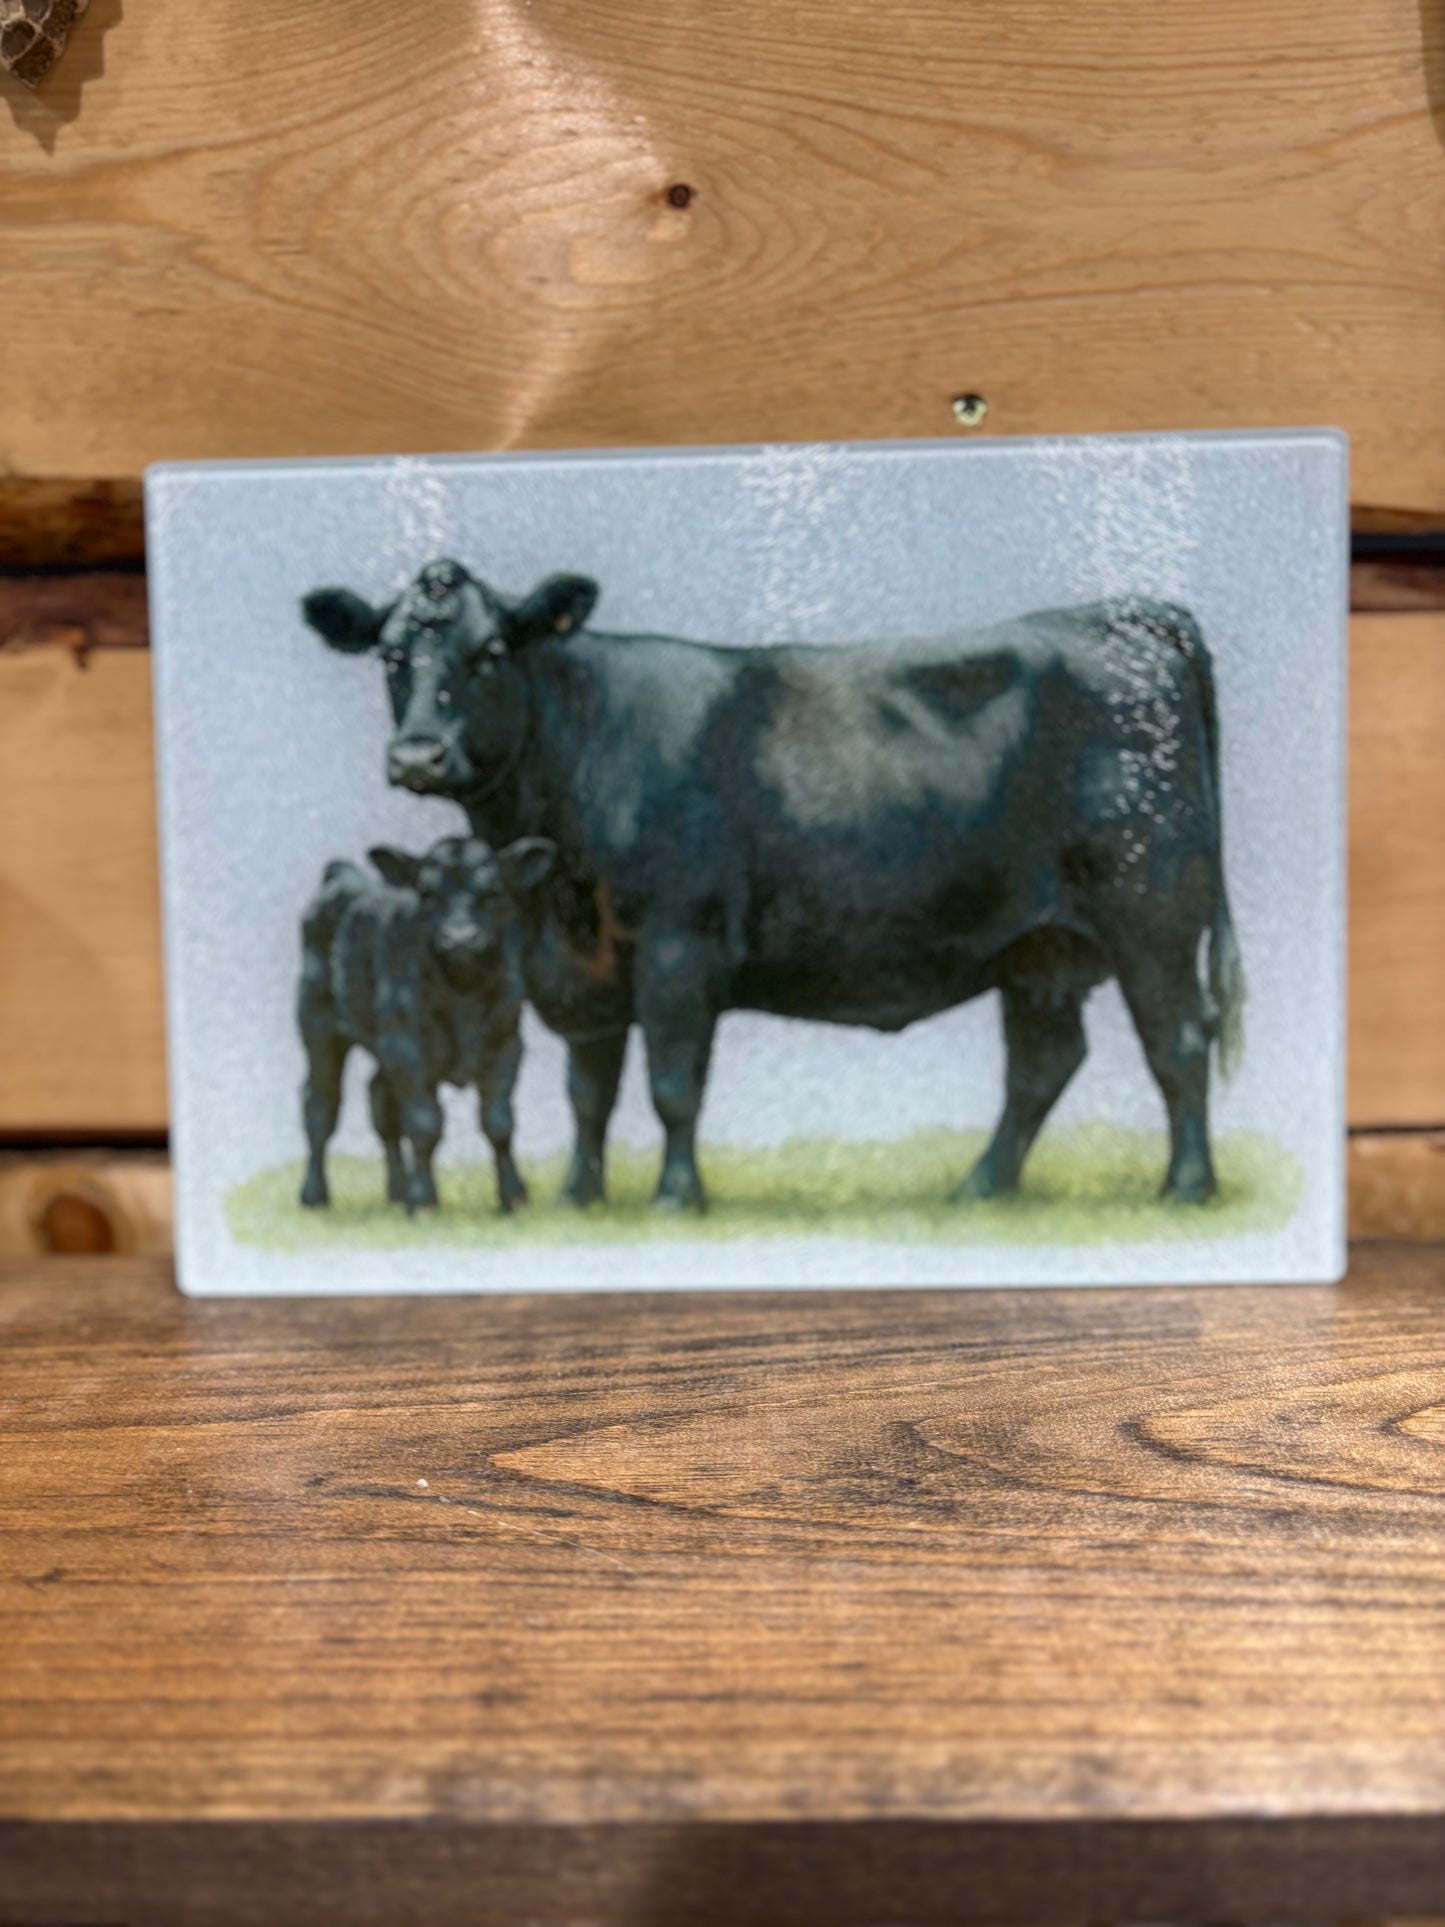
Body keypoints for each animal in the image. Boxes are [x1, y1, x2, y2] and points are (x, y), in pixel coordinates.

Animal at [297, 833, 555, 1215]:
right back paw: (314, 1196)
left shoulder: (506, 1044)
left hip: (381, 1046)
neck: (463, 995)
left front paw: (514, 1197)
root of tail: (345, 876)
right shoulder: (407, 1049)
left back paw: (396, 1192)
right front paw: (423, 1203)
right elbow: (424, 1122)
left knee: (380, 1103)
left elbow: (499, 1122)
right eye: (427, 893)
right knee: (320, 1106)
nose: (460, 938)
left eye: (492, 892)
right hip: (318, 1026)